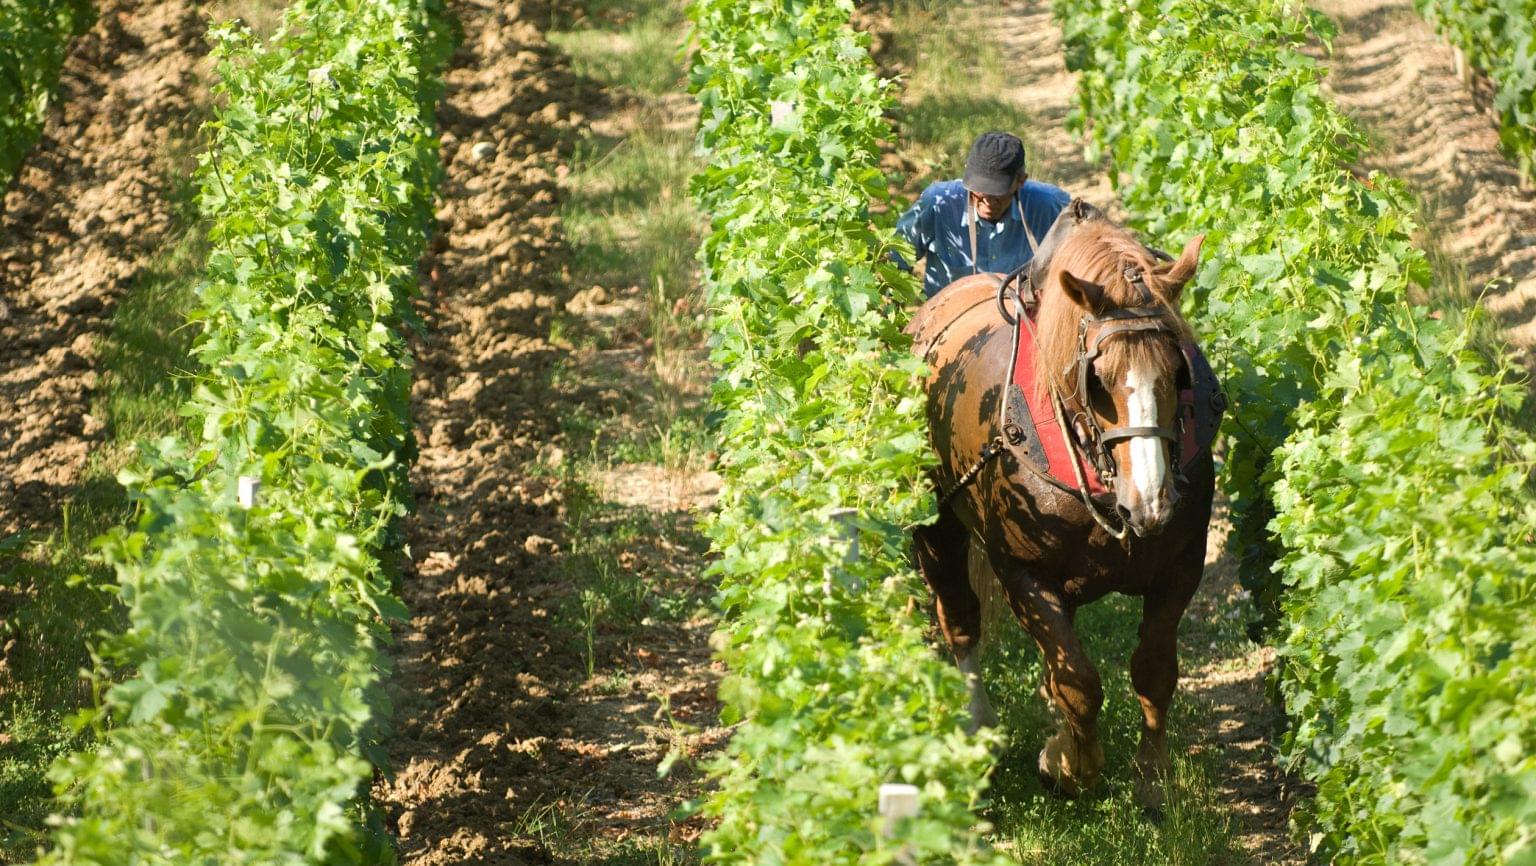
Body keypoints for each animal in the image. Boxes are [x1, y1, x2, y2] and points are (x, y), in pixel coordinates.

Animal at [903, 199, 1216, 810]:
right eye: (1097, 379)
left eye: (1179, 372)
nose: (1152, 502)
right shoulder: (1024, 574)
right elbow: (1080, 685)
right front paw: (1069, 766)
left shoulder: (1182, 564)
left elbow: (1152, 670)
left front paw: (1152, 779)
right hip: (937, 525)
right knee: (961, 619)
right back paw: (979, 730)